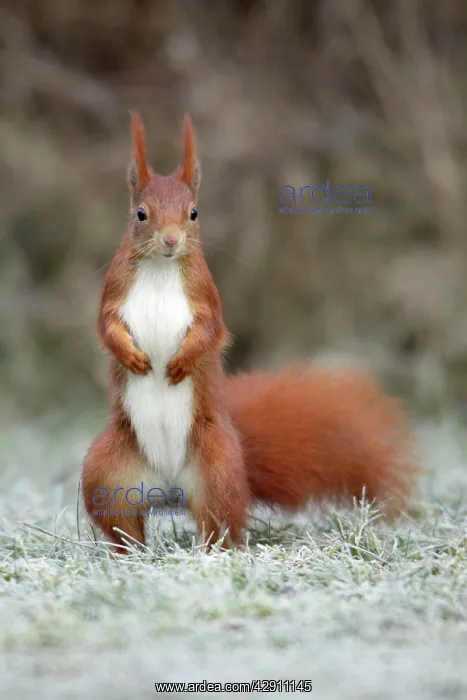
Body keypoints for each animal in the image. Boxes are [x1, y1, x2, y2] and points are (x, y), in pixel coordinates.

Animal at [82, 113, 417, 554]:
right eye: (141, 213)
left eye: (193, 213)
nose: (170, 240)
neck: (160, 268)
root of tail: (170, 490)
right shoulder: (113, 295)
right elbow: (107, 329)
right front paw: (132, 357)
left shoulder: (207, 300)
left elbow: (210, 333)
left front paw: (182, 362)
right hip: (109, 474)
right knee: (122, 522)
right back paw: (130, 553)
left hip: (218, 470)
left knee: (220, 523)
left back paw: (210, 552)